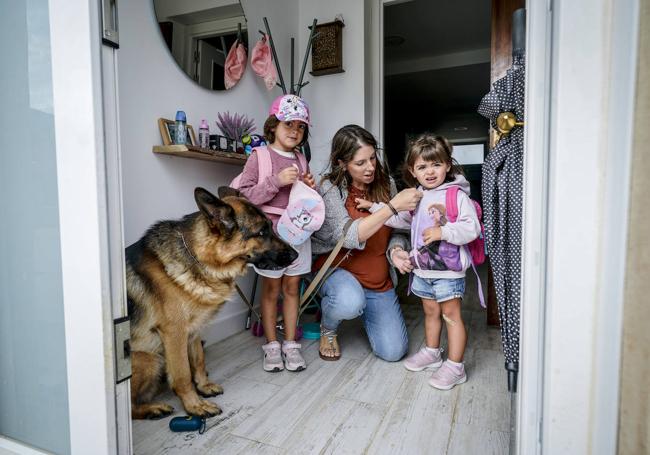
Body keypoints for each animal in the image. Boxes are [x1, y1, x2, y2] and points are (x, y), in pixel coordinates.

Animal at [126, 187, 296, 418]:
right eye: (261, 232)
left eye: (271, 227)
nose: (296, 255)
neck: (200, 259)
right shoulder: (175, 333)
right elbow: (182, 374)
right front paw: (195, 405)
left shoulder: (194, 329)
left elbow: (198, 360)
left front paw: (203, 386)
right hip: (151, 359)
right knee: (131, 408)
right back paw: (153, 408)